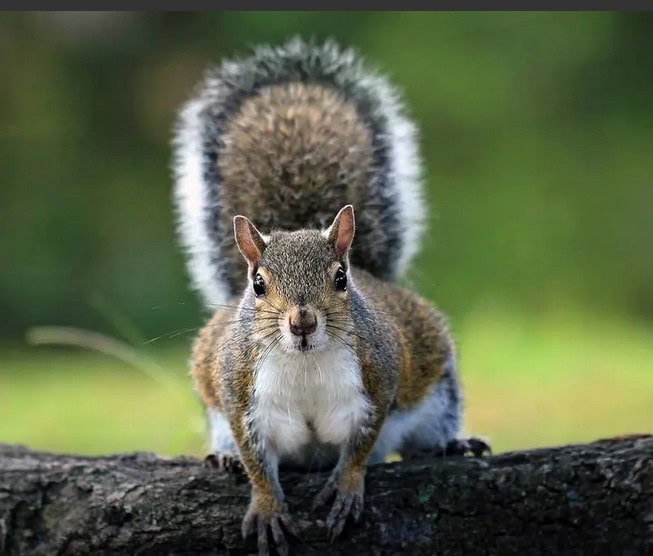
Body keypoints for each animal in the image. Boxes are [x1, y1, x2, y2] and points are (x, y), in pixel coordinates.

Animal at [172, 38, 490, 555]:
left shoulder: (377, 381)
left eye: (341, 279)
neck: (304, 364)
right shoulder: (240, 397)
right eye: (257, 284)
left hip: (437, 393)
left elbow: (360, 447)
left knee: (425, 430)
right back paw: (224, 459)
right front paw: (266, 504)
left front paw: (345, 485)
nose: (302, 322)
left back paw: (447, 445)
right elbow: (257, 462)